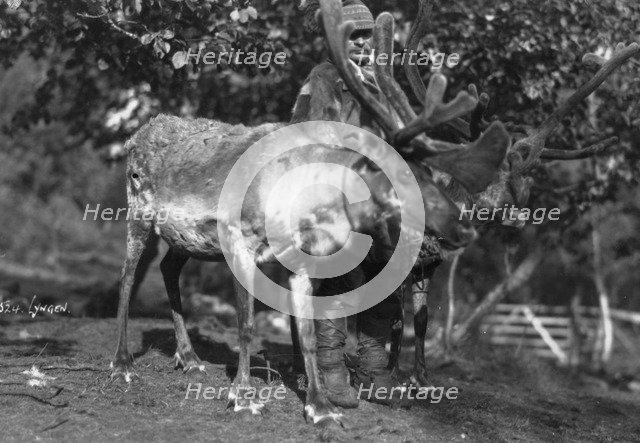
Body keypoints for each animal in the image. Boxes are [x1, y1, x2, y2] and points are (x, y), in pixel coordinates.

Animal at [109, 0, 513, 425]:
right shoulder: (240, 239)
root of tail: (138, 131)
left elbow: (306, 331)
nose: (463, 230)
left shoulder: (303, 260)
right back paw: (122, 364)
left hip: (186, 239)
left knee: (168, 267)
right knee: (127, 275)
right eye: (406, 178)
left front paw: (320, 406)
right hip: (138, 212)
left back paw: (189, 359)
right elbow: (247, 324)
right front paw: (243, 396)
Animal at [387, 0, 640, 389]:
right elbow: (396, 319)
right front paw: (391, 375)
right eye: (483, 174)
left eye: (522, 180)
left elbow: (422, 321)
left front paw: (423, 379)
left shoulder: (429, 267)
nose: (519, 212)